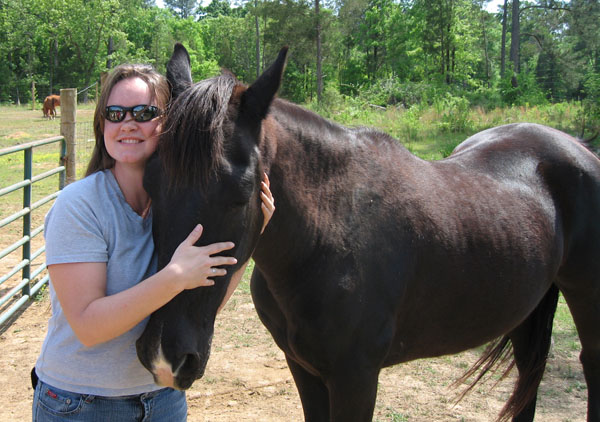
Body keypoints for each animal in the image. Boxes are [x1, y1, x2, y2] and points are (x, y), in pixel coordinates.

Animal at [136, 44, 600, 420]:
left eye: (241, 191)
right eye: (149, 182)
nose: (164, 358)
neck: (327, 238)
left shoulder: (355, 379)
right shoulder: (303, 369)